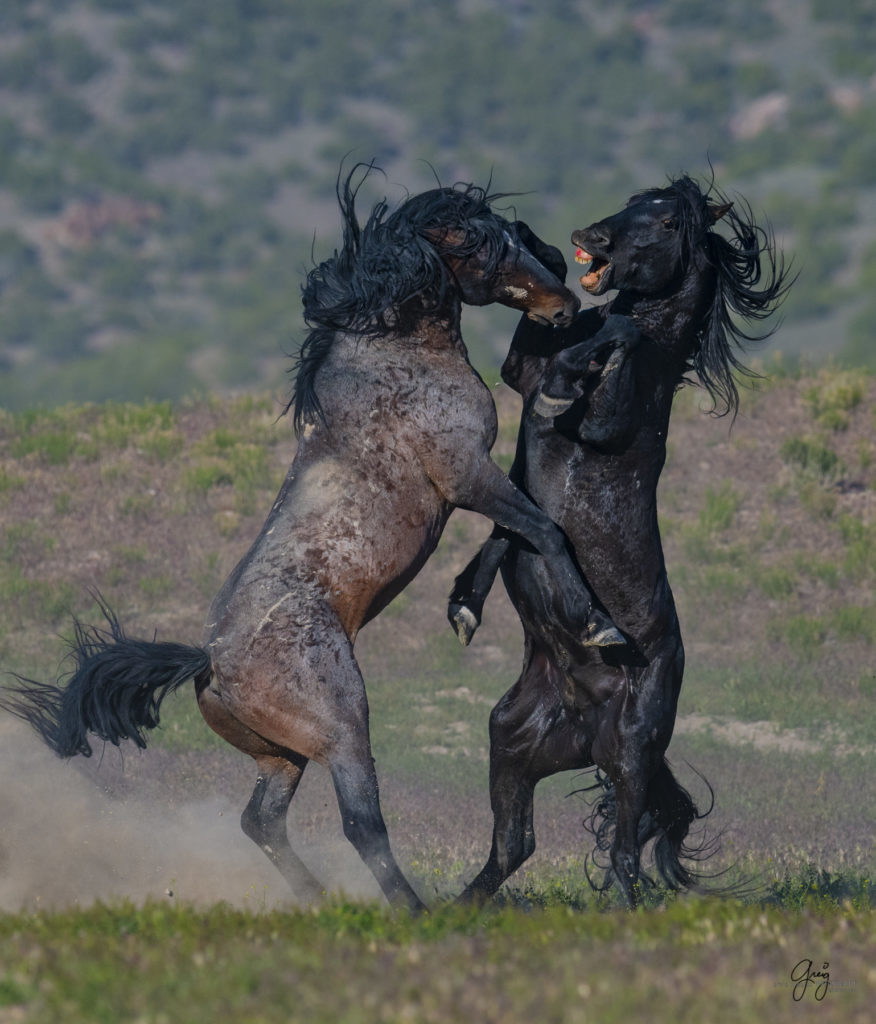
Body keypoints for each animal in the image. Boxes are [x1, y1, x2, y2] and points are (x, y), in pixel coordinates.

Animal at [3, 167, 627, 913]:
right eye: (487, 247)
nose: (565, 306)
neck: (393, 356)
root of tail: (208, 664)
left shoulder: (468, 487)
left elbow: (512, 536)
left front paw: (465, 608)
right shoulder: (465, 476)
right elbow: (543, 530)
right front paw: (598, 624)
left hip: (282, 755)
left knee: (261, 821)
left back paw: (319, 899)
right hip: (341, 728)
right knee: (361, 823)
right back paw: (412, 911)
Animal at [448, 174, 790, 905]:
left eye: (665, 223)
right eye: (634, 201)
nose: (590, 237)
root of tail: (585, 720)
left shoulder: (609, 421)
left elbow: (617, 339)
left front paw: (567, 384)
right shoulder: (520, 368)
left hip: (632, 749)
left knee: (627, 853)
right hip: (510, 740)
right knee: (516, 844)